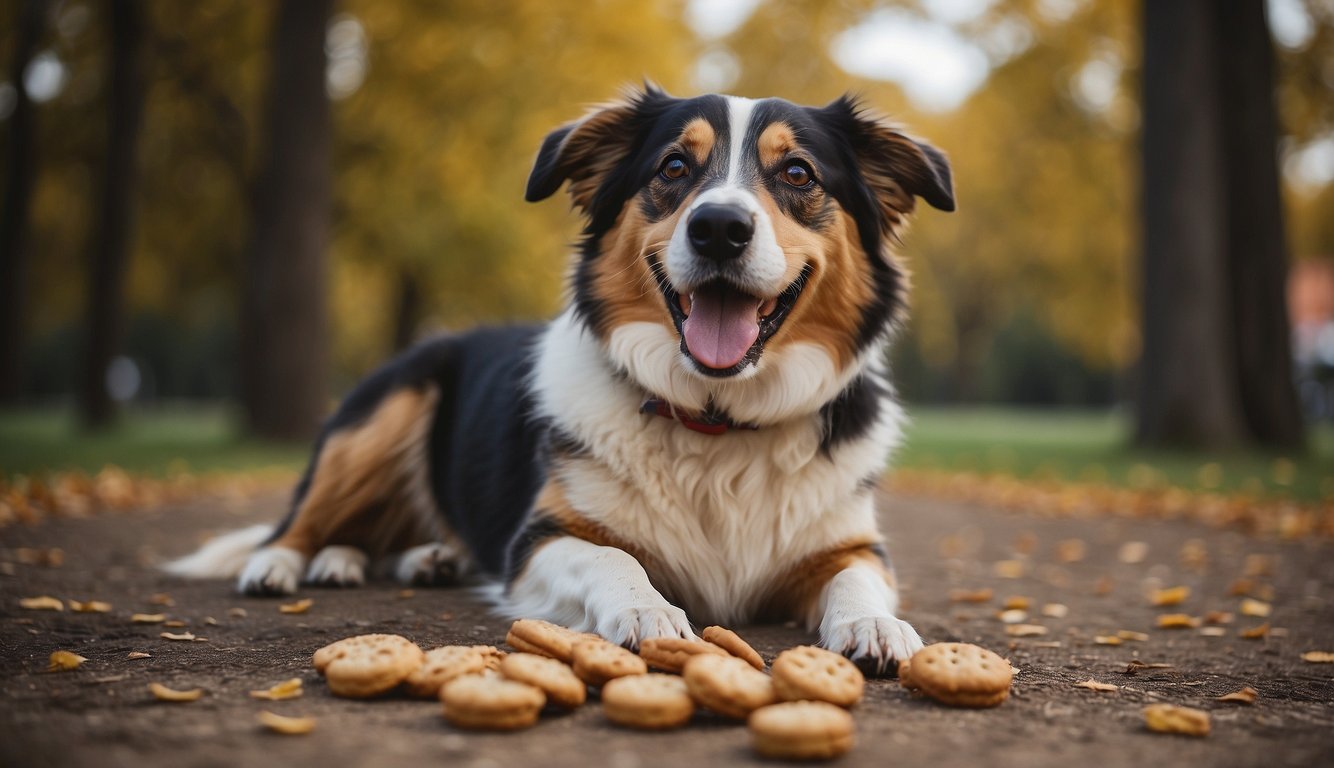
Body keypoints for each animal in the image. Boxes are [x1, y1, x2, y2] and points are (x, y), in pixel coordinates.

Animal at [166, 86, 955, 669]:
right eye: (674, 167)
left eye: (798, 174)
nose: (720, 229)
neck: (715, 417)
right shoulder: (539, 541)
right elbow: (611, 558)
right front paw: (646, 608)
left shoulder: (846, 543)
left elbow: (860, 578)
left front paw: (877, 626)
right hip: (383, 412)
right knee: (299, 521)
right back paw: (285, 565)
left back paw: (407, 558)